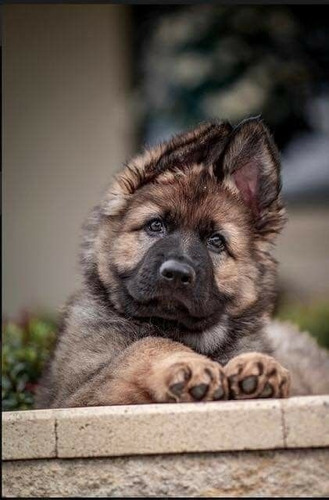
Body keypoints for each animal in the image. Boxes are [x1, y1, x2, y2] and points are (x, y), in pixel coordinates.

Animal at [36, 119, 328, 408]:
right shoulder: (75, 395)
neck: (179, 330)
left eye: (216, 241)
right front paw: (192, 366)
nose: (176, 274)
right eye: (156, 226)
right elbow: (146, 345)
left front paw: (261, 365)